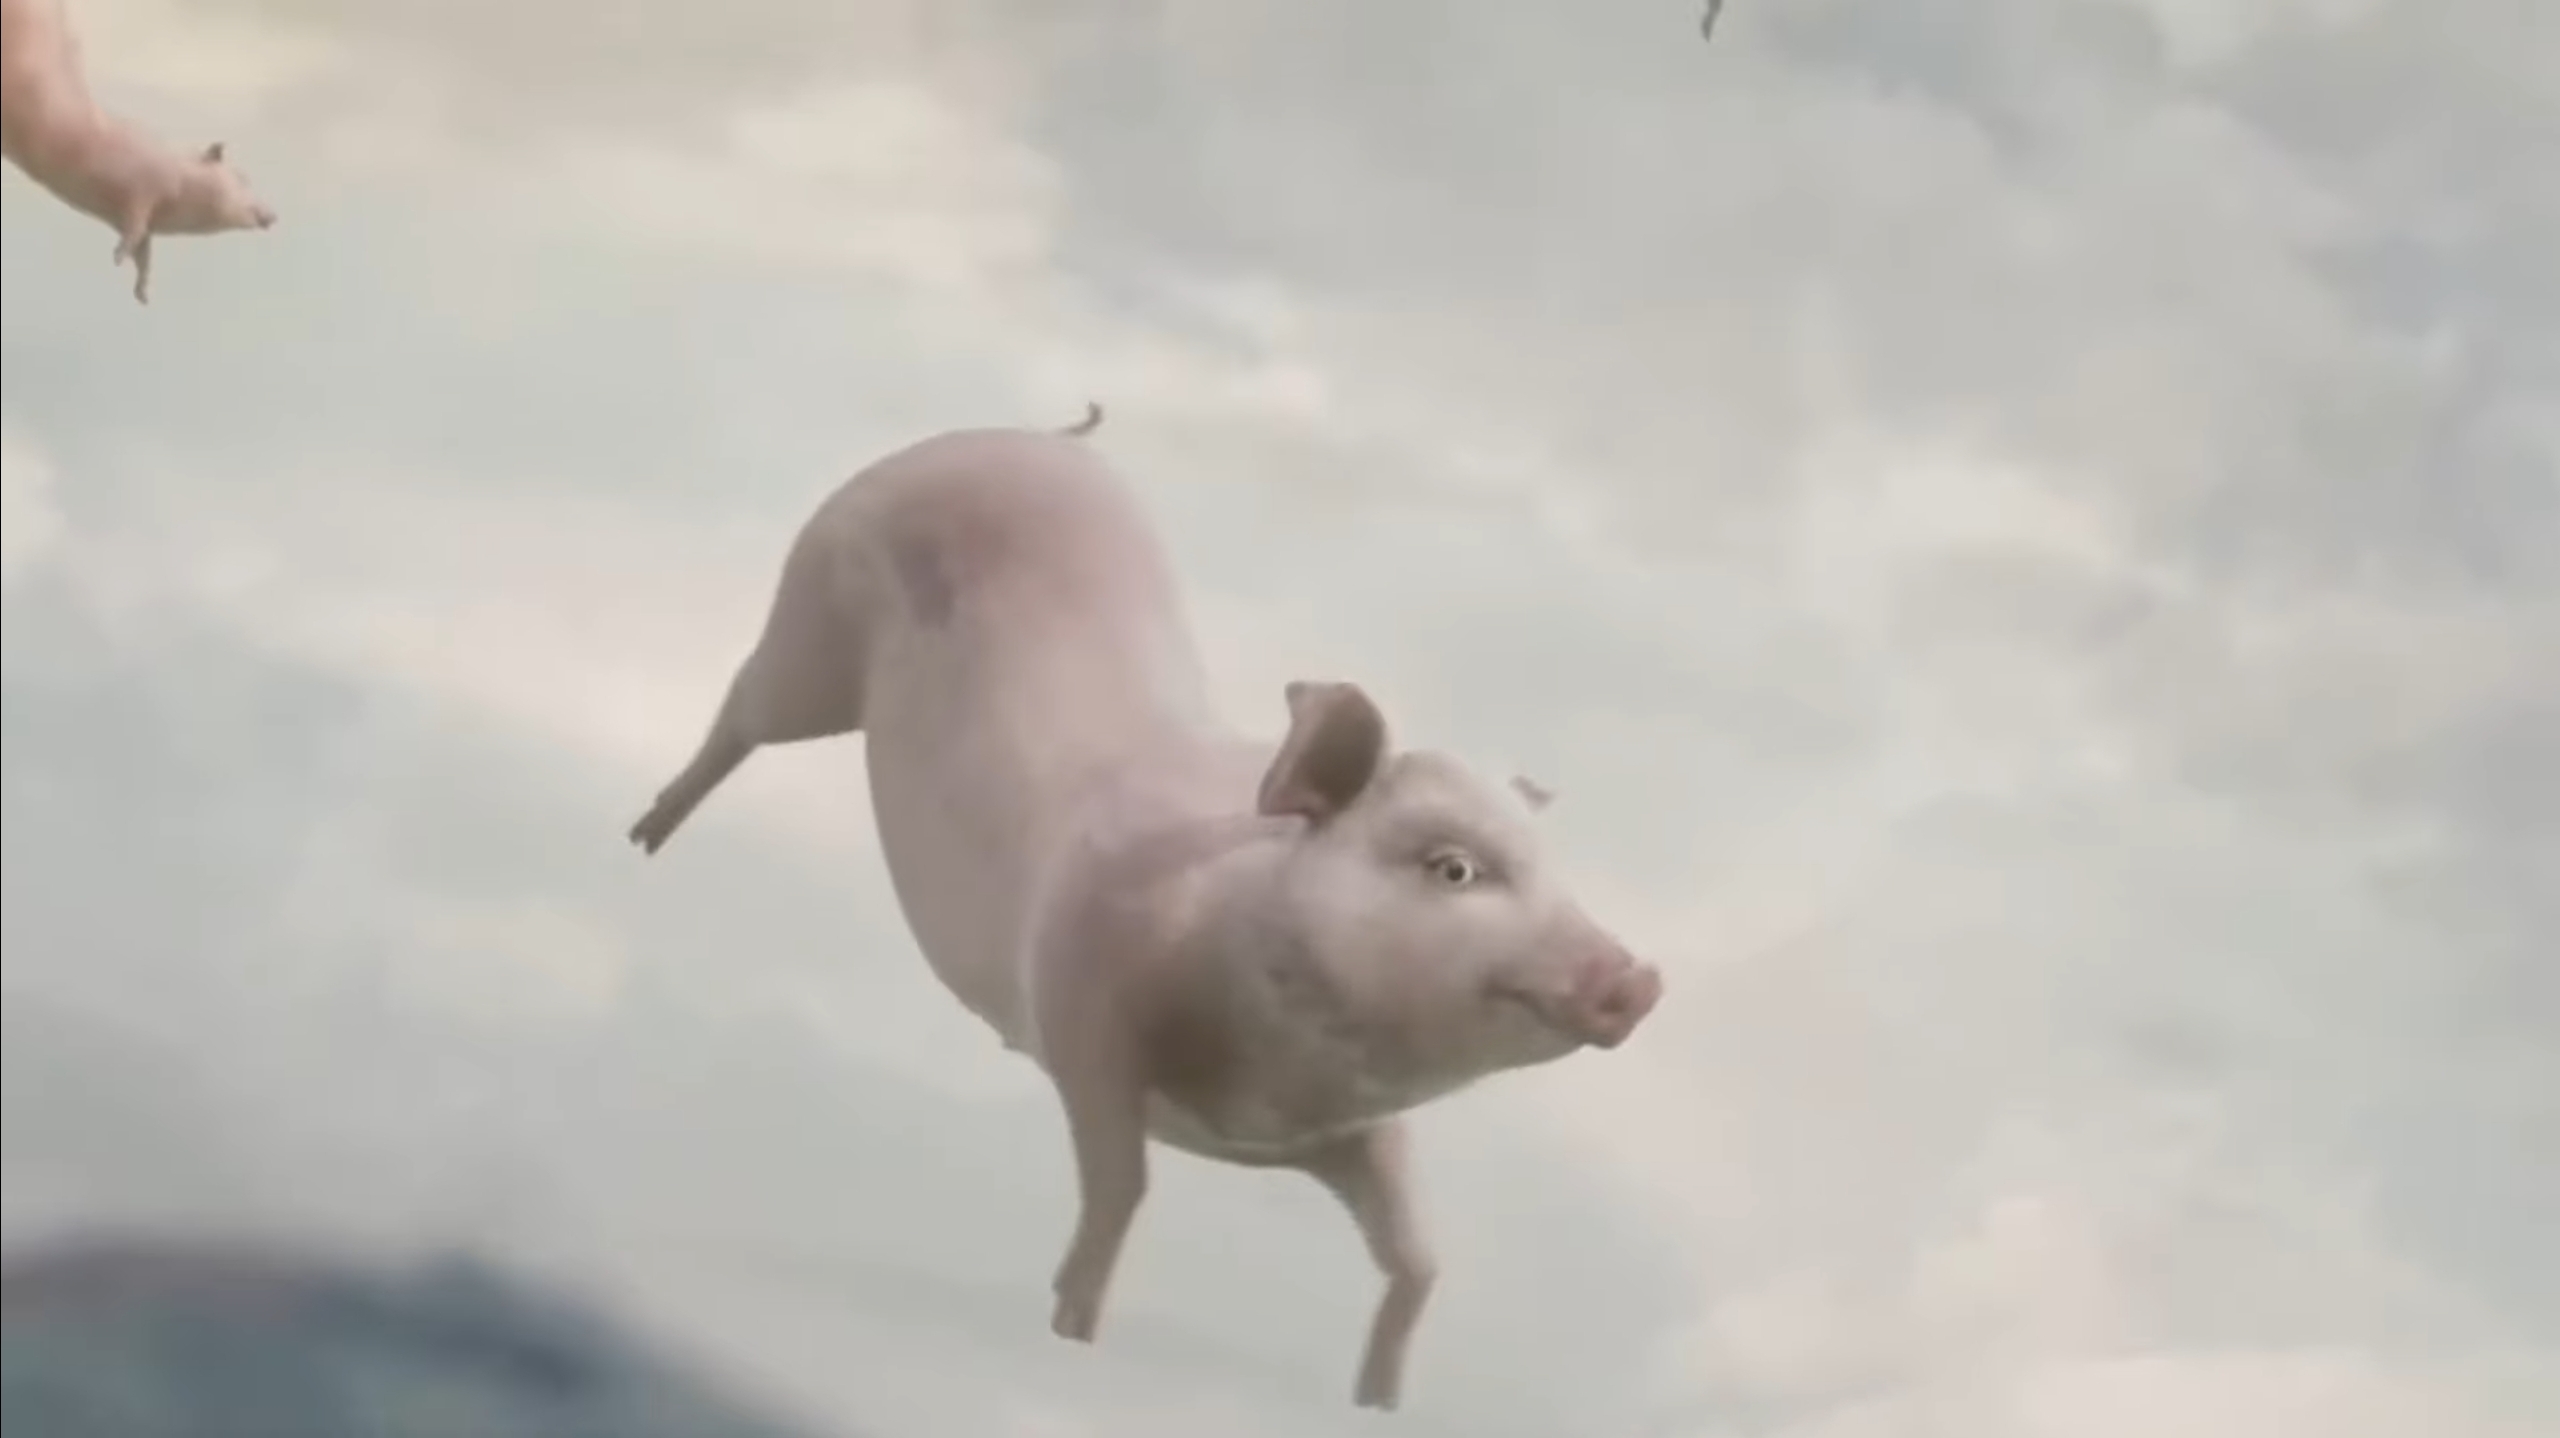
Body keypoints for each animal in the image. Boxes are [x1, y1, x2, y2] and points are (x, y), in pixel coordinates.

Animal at [0, 0, 277, 305]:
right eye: (241, 177)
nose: (274, 215)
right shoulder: (140, 191)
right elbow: (135, 228)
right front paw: (117, 258)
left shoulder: (138, 218)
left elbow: (144, 249)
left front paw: (142, 295)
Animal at [627, 410, 1664, 1411]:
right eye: (1453, 869)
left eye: (1561, 876)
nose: (1638, 975)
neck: (1273, 1078)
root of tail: (1034, 440)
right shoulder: (1080, 1010)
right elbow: (1123, 1184)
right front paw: (1072, 1329)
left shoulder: (1357, 1132)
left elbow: (1418, 1258)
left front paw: (1379, 1400)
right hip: (812, 632)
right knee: (740, 710)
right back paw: (645, 836)